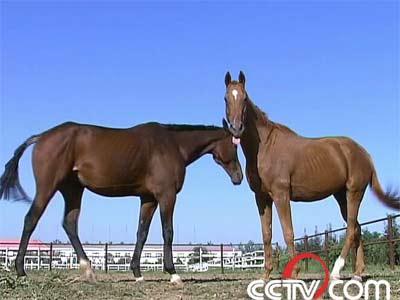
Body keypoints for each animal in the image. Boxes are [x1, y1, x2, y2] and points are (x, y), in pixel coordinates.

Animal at [0, 121, 242, 284]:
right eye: (235, 146)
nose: (239, 177)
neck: (172, 145)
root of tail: (41, 136)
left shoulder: (148, 199)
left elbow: (142, 233)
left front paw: (137, 273)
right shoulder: (166, 196)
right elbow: (168, 231)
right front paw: (173, 273)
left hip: (73, 190)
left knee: (69, 224)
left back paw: (89, 271)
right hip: (48, 187)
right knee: (31, 219)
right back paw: (21, 270)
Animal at [223, 72, 398, 282]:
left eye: (245, 99)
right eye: (226, 99)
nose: (236, 128)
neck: (265, 146)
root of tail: (365, 154)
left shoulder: (281, 195)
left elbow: (288, 232)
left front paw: (294, 273)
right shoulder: (262, 197)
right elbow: (266, 234)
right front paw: (265, 275)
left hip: (354, 193)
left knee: (350, 230)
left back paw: (336, 271)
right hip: (341, 196)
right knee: (357, 228)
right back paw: (357, 274)